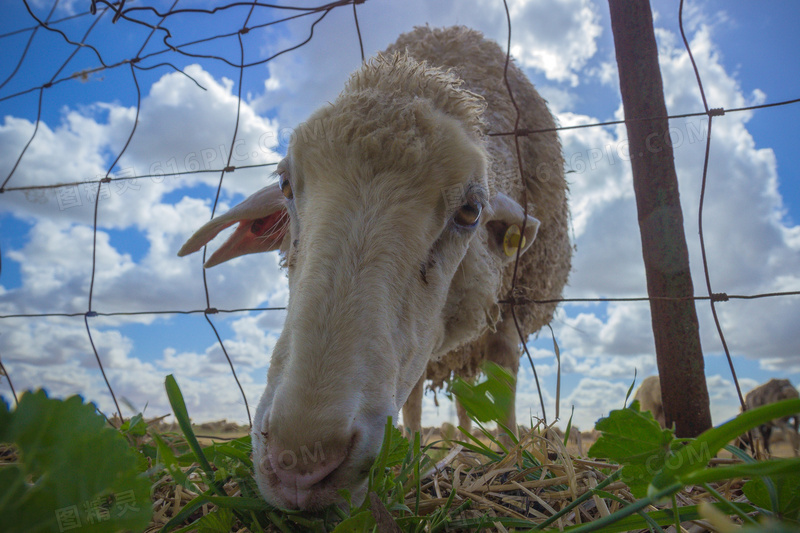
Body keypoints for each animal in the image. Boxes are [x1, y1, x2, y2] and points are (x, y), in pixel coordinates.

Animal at [179, 27, 572, 510]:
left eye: (470, 211)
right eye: (285, 184)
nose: (300, 462)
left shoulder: (511, 316)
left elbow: (506, 388)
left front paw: (513, 458)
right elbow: (414, 401)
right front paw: (413, 462)